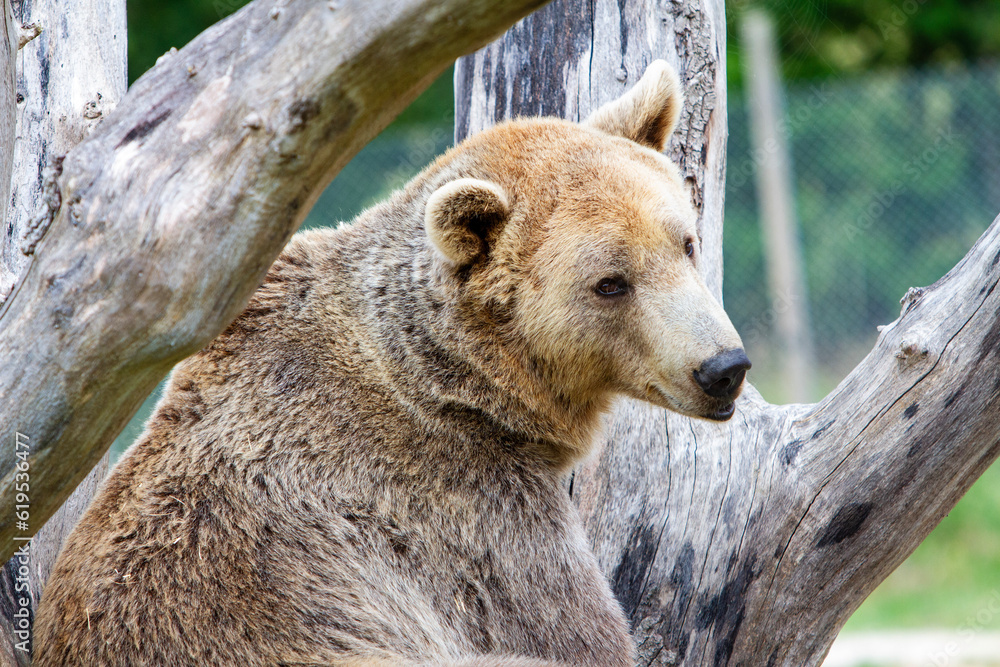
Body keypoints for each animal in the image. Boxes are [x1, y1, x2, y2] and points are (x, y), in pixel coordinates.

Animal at [32, 60, 750, 666]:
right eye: (610, 282)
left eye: (685, 242)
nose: (723, 366)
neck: (461, 382)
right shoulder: (463, 514)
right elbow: (567, 631)